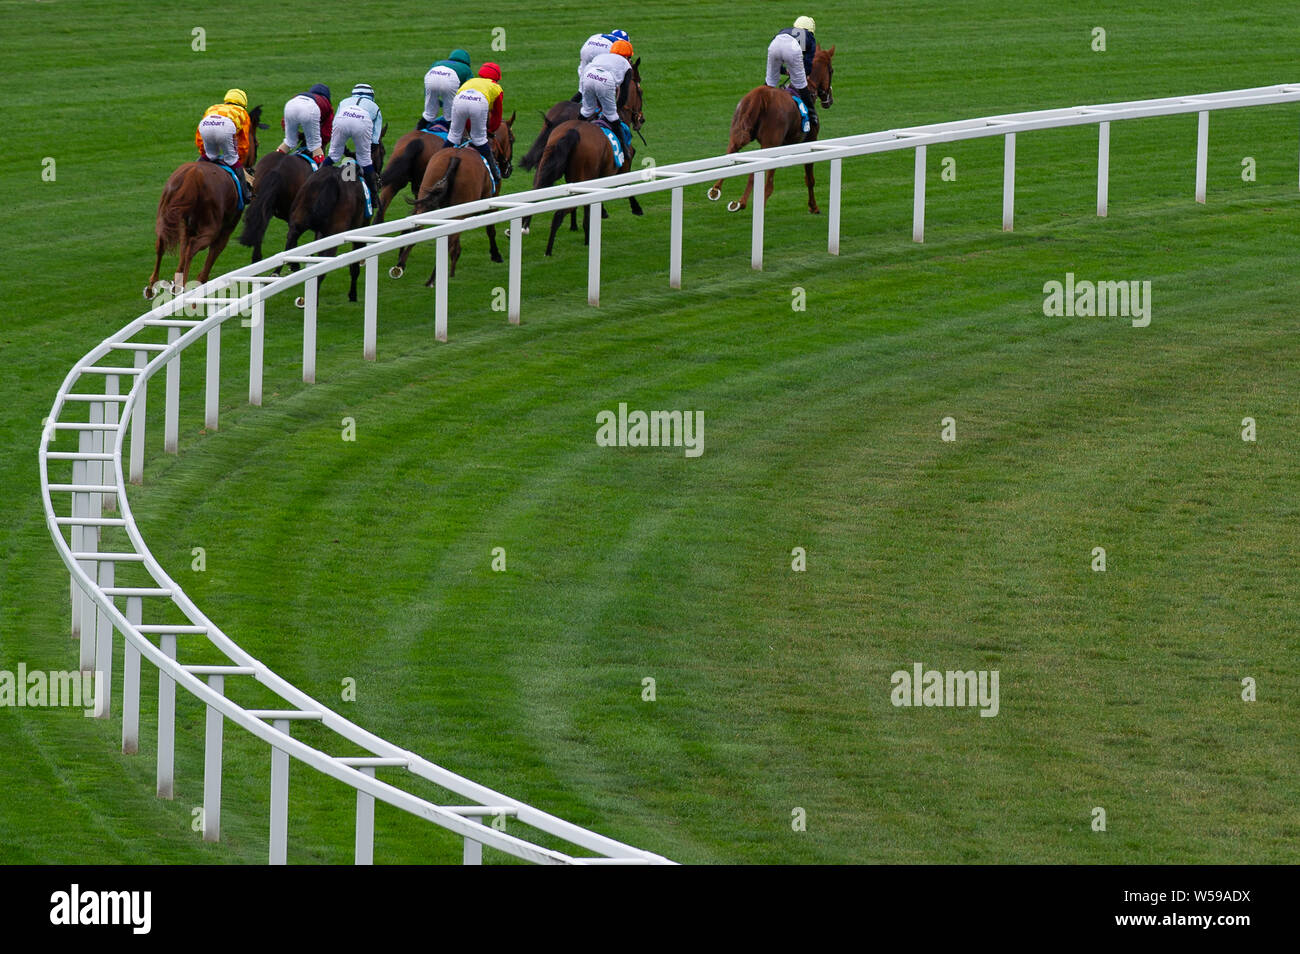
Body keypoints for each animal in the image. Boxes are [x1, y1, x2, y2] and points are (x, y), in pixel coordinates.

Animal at [145, 103, 266, 298]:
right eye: (256, 144)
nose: (252, 168)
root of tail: (191, 175)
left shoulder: (187, 227)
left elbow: (182, 254)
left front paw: (176, 282)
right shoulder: (226, 229)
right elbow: (209, 259)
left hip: (167, 214)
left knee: (162, 242)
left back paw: (152, 286)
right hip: (211, 226)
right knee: (193, 248)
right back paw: (184, 287)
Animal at [284, 135, 384, 302]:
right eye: (383, 152)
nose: (379, 178)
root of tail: (330, 180)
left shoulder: (320, 233)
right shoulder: (361, 227)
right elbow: (355, 265)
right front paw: (352, 295)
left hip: (299, 219)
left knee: (290, 240)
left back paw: (285, 269)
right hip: (334, 232)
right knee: (321, 270)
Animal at [387, 113, 514, 283]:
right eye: (512, 139)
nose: (508, 169)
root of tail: (455, 158)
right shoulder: (492, 197)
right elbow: (490, 229)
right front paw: (496, 254)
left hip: (419, 191)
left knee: (416, 224)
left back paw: (400, 264)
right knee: (449, 239)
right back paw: (434, 278)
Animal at [712, 46, 832, 213]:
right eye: (831, 70)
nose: (829, 101)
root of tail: (759, 96)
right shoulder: (810, 140)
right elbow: (809, 178)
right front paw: (813, 206)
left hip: (739, 133)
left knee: (731, 154)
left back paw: (717, 190)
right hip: (771, 143)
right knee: (766, 183)